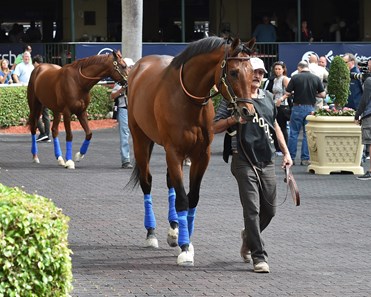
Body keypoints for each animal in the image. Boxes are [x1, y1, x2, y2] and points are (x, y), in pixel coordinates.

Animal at [128, 37, 256, 266]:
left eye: (252, 71)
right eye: (233, 72)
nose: (247, 111)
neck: (188, 100)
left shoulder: (201, 155)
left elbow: (192, 197)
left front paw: (184, 237)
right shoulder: (174, 151)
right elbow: (182, 199)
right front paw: (185, 247)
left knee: (170, 181)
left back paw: (174, 229)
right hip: (140, 140)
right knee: (147, 182)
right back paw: (151, 233)